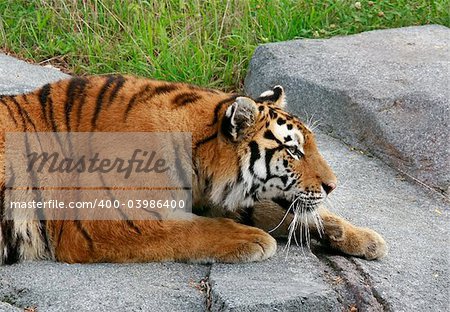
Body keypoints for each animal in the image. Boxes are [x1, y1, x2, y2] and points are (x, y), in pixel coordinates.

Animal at [0, 75, 386, 264]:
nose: (333, 185)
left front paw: (362, 237)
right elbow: (190, 230)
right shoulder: (96, 223)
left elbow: (282, 213)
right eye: (293, 150)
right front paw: (252, 240)